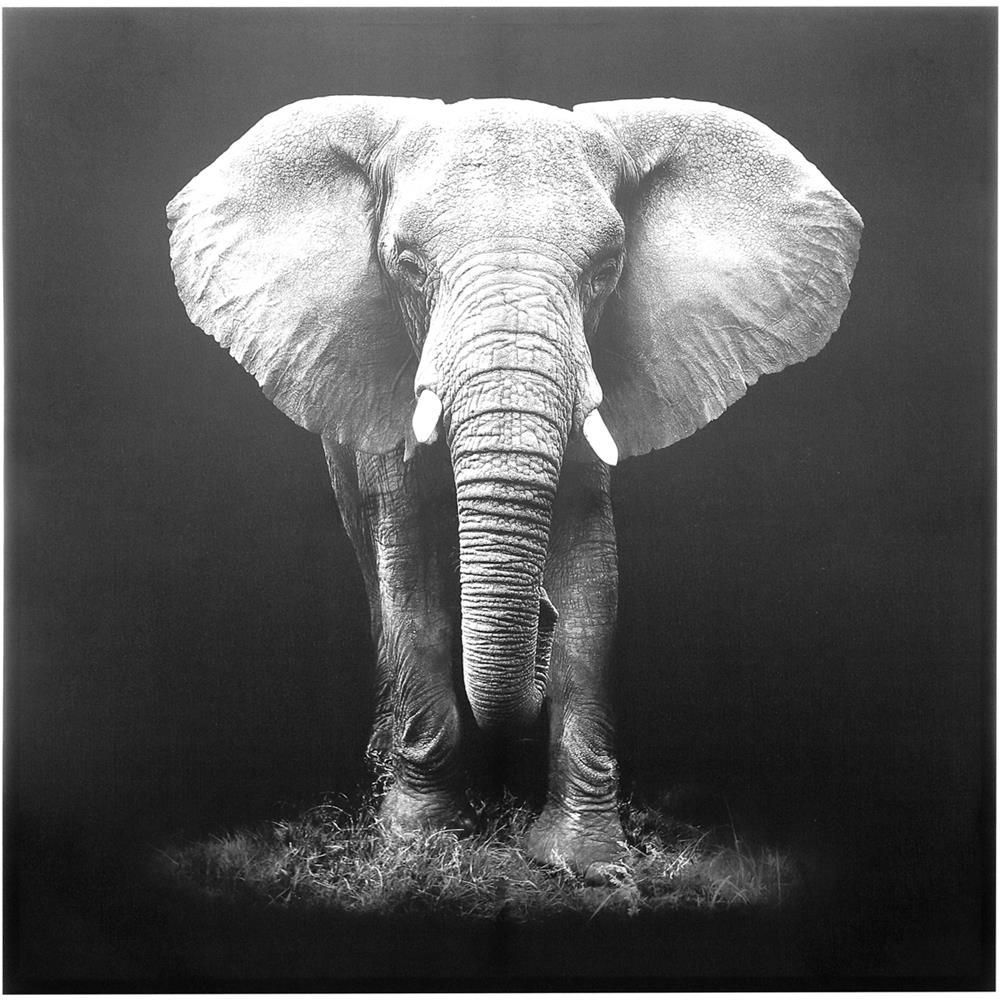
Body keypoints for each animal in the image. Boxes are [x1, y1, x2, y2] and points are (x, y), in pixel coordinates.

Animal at [167, 96, 861, 874]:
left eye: (607, 269)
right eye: (407, 266)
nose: (538, 618)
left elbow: (592, 585)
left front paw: (584, 861)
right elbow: (410, 575)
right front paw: (419, 843)